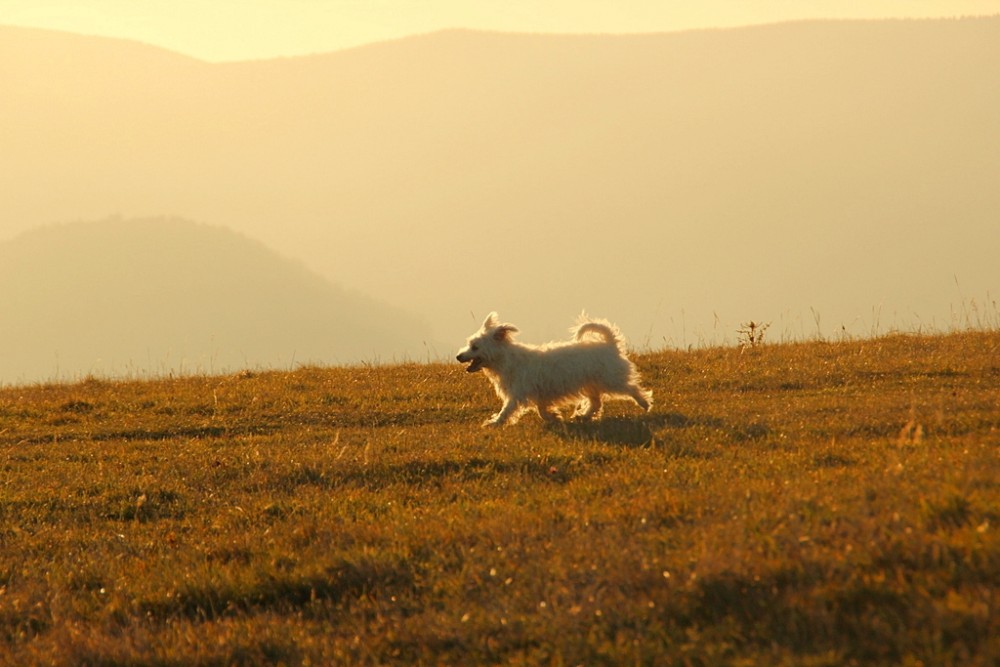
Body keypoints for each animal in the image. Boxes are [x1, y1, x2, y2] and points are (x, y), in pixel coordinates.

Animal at [456, 314, 656, 428]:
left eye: (475, 347)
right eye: (469, 344)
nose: (459, 356)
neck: (507, 360)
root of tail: (610, 343)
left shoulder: (517, 394)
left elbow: (507, 410)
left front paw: (494, 423)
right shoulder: (540, 393)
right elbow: (542, 410)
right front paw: (554, 417)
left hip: (611, 379)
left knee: (631, 388)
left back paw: (645, 404)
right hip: (591, 384)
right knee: (596, 403)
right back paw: (584, 416)